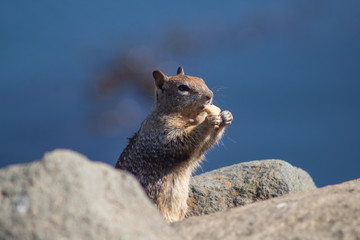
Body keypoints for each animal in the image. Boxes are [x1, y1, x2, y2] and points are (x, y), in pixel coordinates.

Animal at [115, 66, 233, 223]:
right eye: (182, 88)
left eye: (201, 79)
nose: (210, 95)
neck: (189, 119)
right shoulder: (164, 135)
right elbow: (182, 140)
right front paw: (209, 121)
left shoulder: (197, 150)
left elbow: (204, 145)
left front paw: (226, 116)